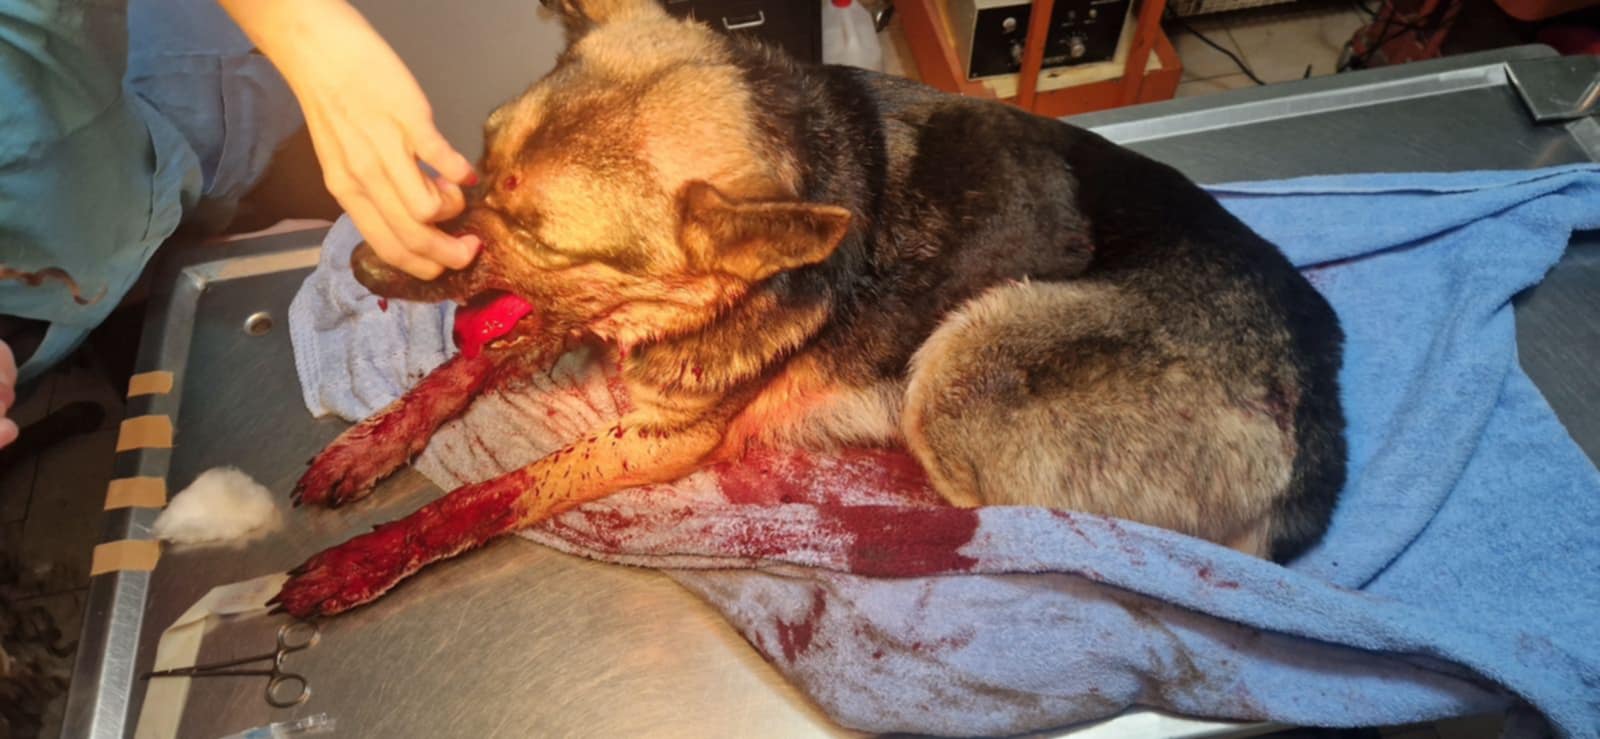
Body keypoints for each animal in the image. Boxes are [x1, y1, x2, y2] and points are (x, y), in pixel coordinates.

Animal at [271, 0, 1346, 618]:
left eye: (534, 225)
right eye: (479, 155)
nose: (362, 261)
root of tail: (1321, 390)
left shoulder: (663, 435)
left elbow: (497, 491)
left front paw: (368, 557)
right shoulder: (586, 316)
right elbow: (468, 362)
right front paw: (373, 442)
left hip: (960, 359)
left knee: (1006, 509)